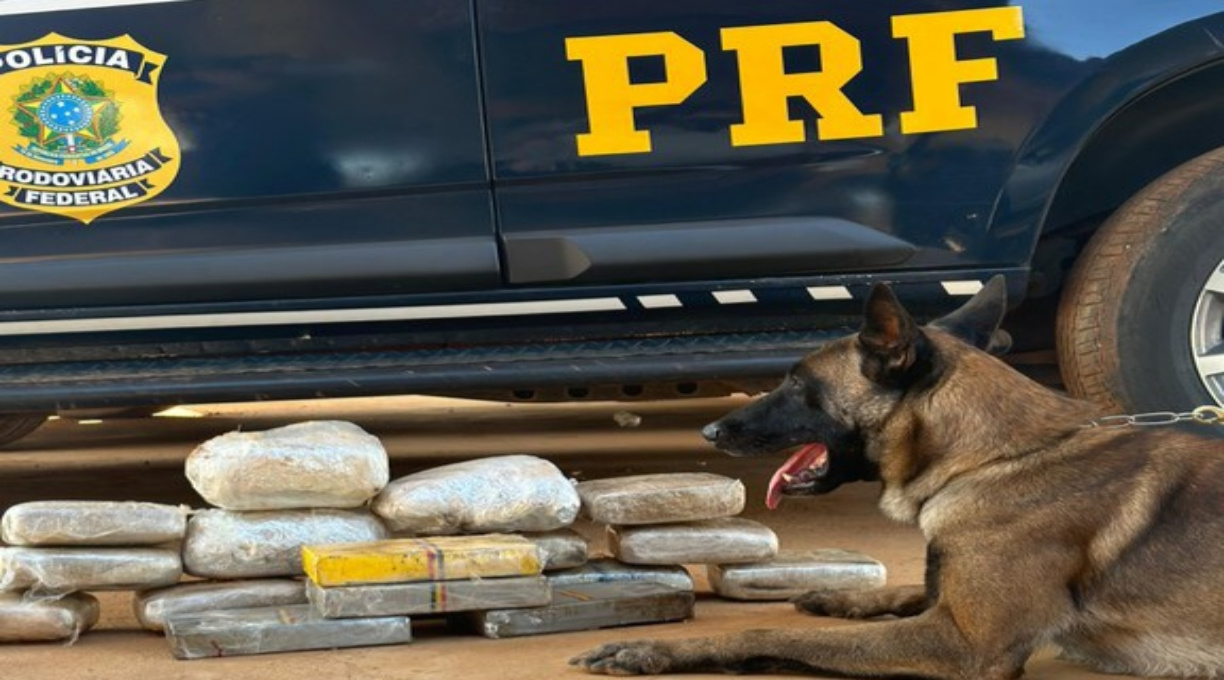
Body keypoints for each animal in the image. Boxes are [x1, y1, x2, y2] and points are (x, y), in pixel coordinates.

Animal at [567, 277, 1224, 680]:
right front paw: (844, 597)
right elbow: (912, 587)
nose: (709, 431)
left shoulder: (966, 644)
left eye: (797, 384)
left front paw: (657, 650)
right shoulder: (946, 605)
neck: (991, 458)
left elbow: (781, 637)